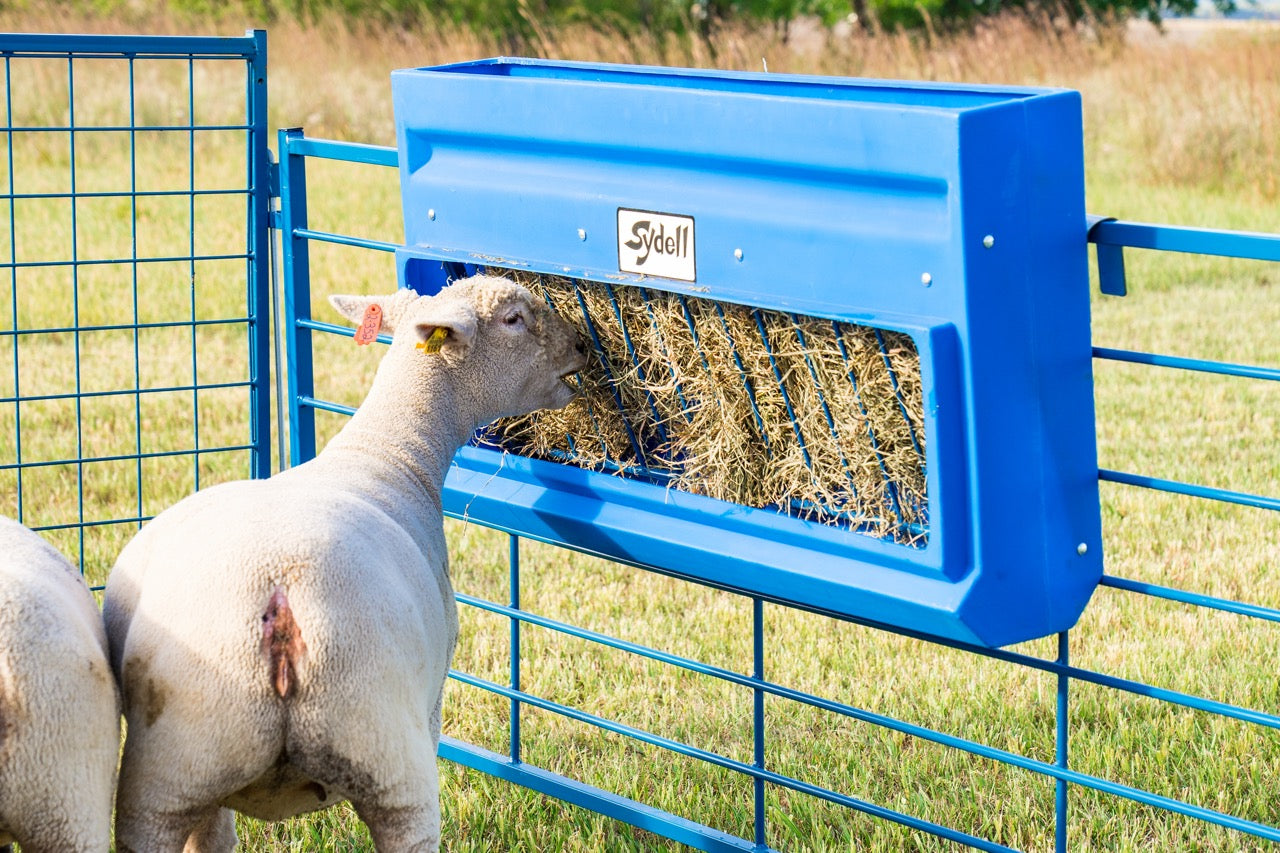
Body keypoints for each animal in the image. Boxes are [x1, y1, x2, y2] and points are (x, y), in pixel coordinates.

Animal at [102, 274, 586, 852]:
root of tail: (279, 600)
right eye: (514, 318)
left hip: (173, 772)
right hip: (388, 752)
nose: (583, 347)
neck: (388, 454)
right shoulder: (432, 704)